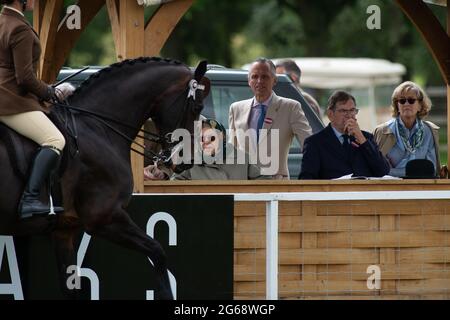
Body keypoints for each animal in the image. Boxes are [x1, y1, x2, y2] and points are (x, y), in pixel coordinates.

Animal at [0, 56, 207, 298]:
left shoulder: (64, 231)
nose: (186, 161)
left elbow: (71, 287)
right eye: (198, 107)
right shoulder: (105, 217)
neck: (97, 127)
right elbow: (158, 252)